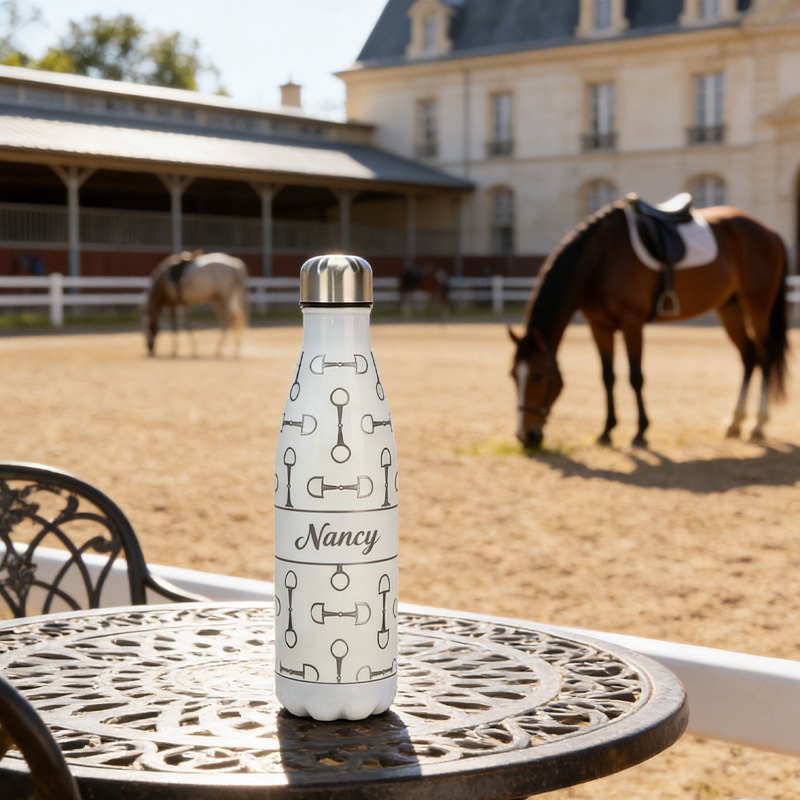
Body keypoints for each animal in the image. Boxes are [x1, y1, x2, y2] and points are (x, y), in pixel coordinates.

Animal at [509, 196, 789, 448]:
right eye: (513, 375)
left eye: (538, 376)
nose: (525, 436)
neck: (600, 258)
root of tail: (770, 232)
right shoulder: (599, 326)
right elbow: (608, 376)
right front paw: (607, 431)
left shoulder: (632, 323)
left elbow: (636, 376)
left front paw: (640, 432)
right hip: (730, 308)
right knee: (748, 356)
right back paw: (735, 423)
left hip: (757, 307)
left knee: (764, 356)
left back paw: (758, 425)